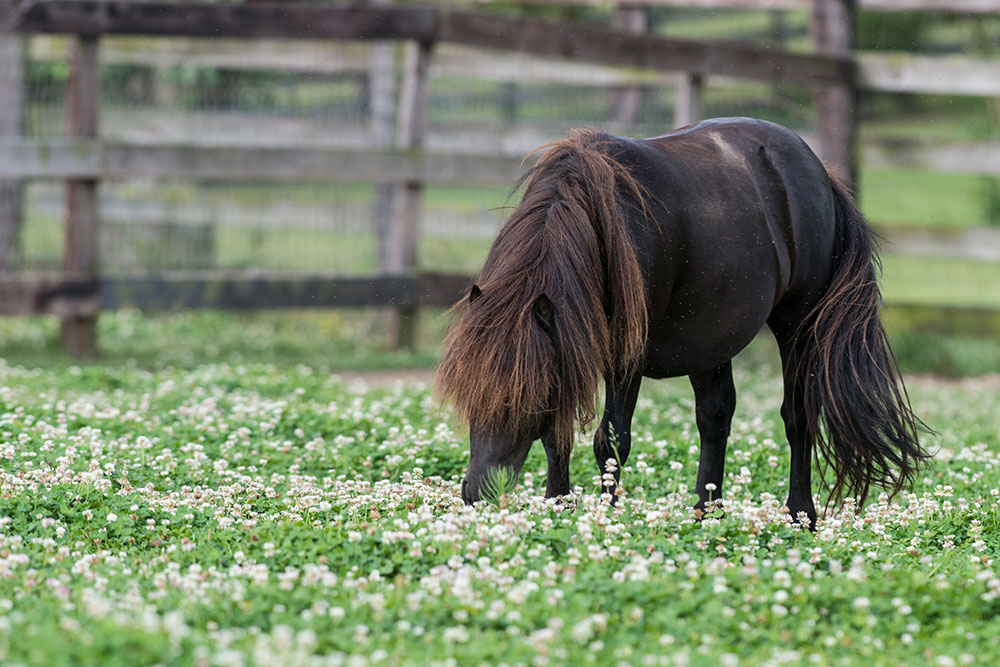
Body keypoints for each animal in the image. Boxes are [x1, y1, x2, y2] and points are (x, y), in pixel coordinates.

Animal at [435, 117, 927, 527]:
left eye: (519, 398)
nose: (475, 492)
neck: (602, 222)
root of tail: (820, 171)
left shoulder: (624, 357)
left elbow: (610, 442)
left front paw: (603, 519)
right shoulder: (569, 348)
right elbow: (559, 437)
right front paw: (559, 506)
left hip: (797, 324)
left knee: (797, 417)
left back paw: (799, 516)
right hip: (711, 338)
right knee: (715, 417)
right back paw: (707, 513)